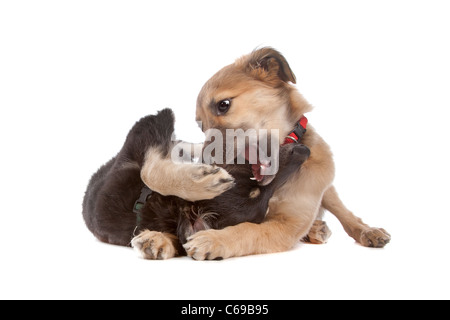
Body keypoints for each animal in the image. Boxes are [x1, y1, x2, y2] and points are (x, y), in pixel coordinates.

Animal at [82, 109, 310, 258]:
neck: (151, 200)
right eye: (256, 184)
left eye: (267, 200)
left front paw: (157, 240)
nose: (304, 151)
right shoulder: (146, 127)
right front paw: (199, 181)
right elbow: (149, 171)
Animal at [180, 47, 390, 260]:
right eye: (201, 126)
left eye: (223, 104)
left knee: (345, 213)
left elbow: (248, 230)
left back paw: (366, 231)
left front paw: (214, 239)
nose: (204, 162)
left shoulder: (289, 223)